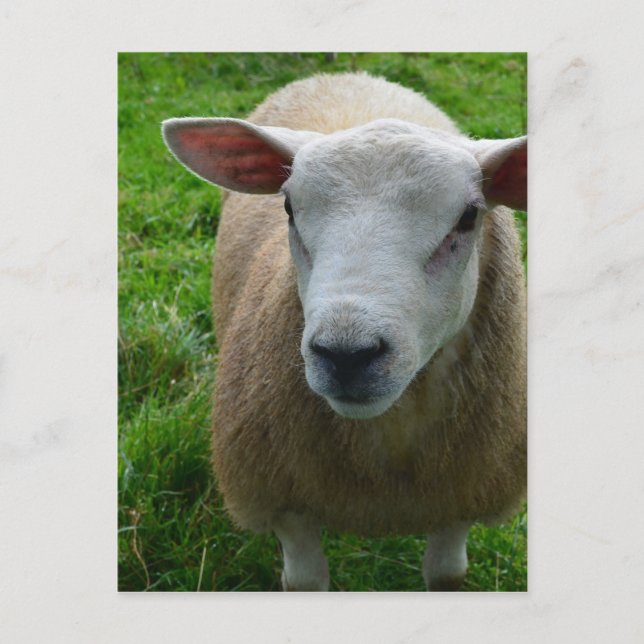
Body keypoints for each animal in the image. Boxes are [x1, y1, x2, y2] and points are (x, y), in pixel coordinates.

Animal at [162, 71, 527, 592]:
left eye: (468, 217)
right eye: (288, 208)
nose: (346, 355)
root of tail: (344, 75)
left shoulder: (463, 496)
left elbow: (446, 573)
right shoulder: (285, 503)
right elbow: (306, 581)